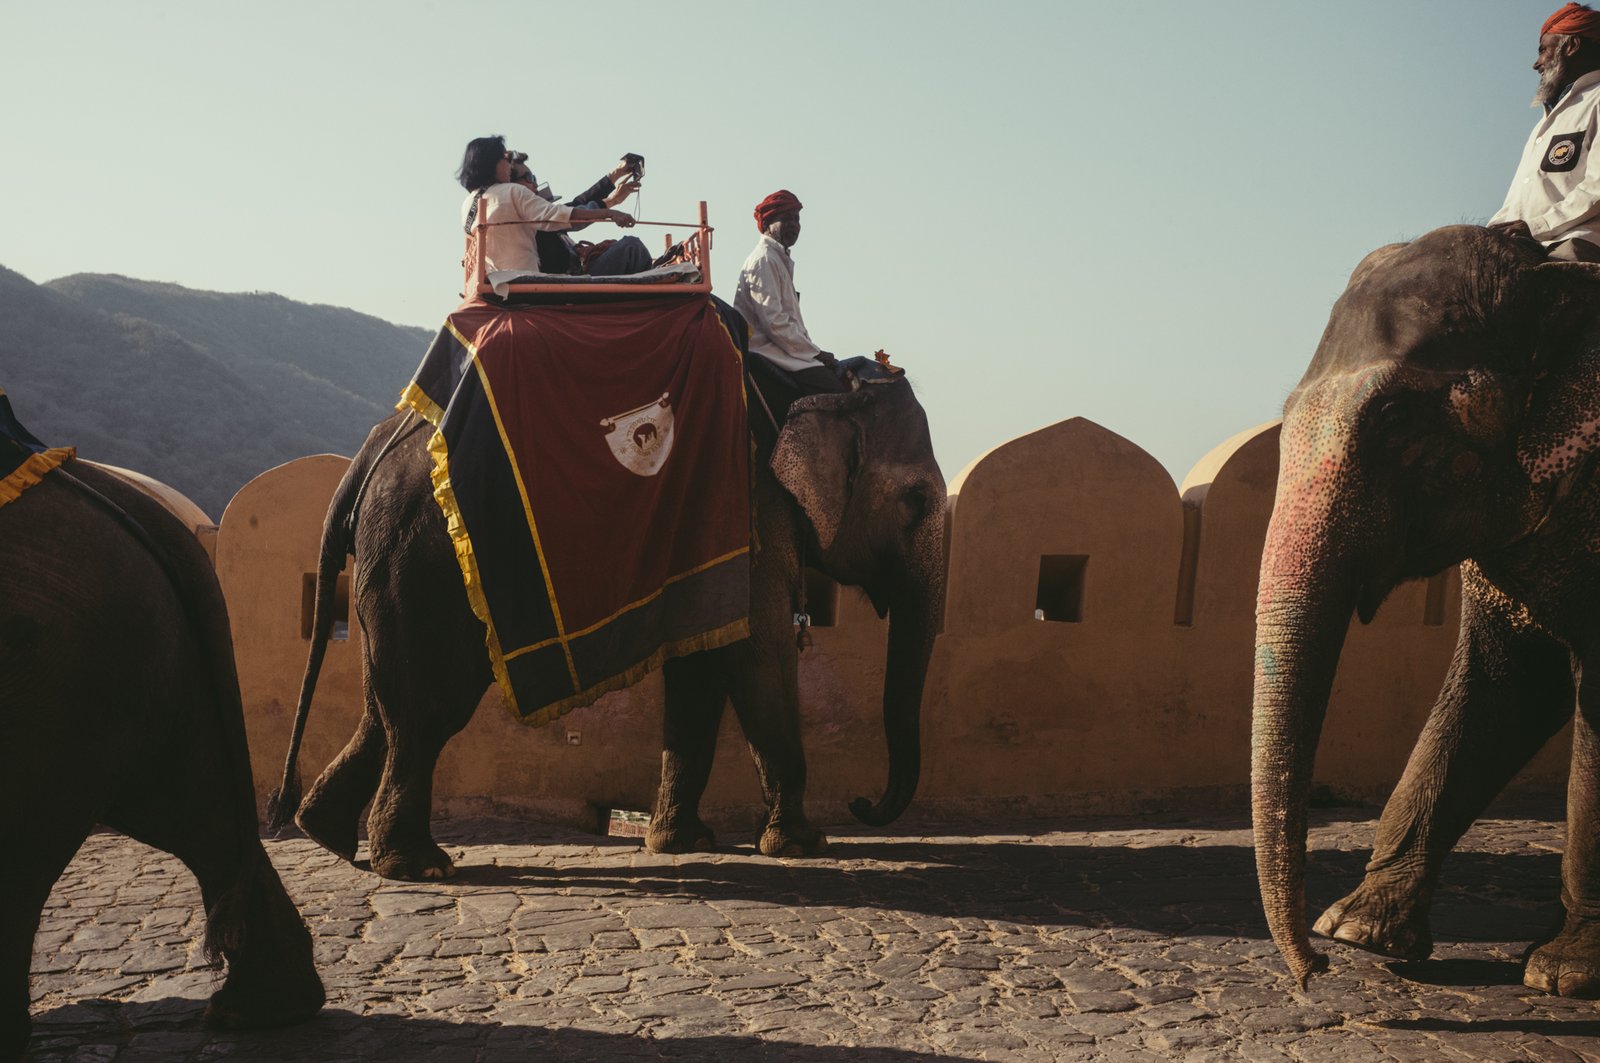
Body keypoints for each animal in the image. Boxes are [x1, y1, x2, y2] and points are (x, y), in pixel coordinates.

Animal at [270, 355, 946, 881]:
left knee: (390, 704)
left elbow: (701, 667)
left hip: (395, 569)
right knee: (430, 708)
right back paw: (419, 867)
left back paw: (327, 833)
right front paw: (804, 846)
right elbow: (758, 651)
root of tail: (365, 457)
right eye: (915, 501)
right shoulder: (751, 506)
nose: (862, 803)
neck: (810, 389)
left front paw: (682, 844)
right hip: (423, 561)